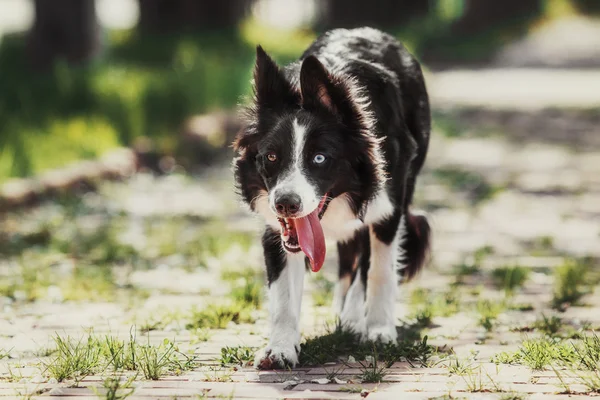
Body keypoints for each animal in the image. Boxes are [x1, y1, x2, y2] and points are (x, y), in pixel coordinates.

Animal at [231, 26, 432, 368]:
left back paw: (355, 319)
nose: (286, 203)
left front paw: (380, 332)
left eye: (320, 158)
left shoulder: (388, 208)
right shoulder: (277, 226)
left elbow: (379, 270)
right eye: (271, 157)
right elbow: (283, 293)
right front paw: (281, 349)